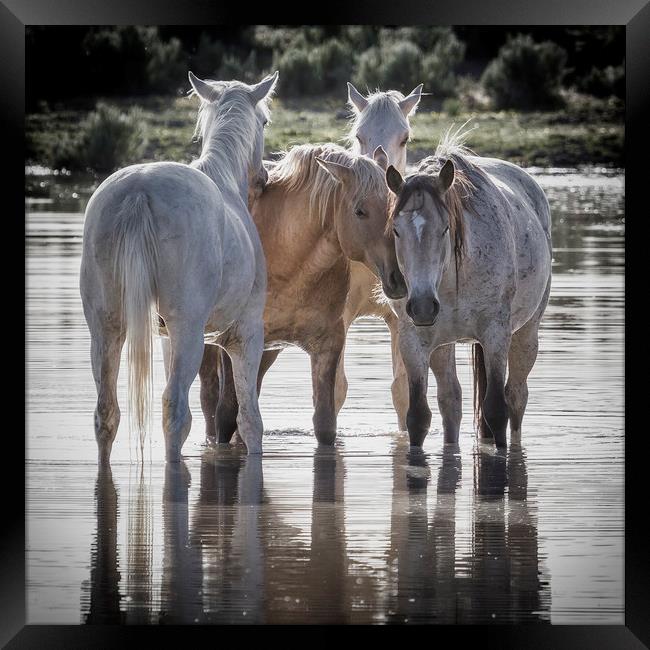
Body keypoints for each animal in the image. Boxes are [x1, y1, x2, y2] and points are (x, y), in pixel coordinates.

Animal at [79, 71, 278, 460]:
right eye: (264, 121)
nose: (263, 177)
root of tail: (139, 192)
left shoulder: (165, 337)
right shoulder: (246, 334)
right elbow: (250, 420)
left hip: (105, 328)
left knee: (106, 412)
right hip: (188, 331)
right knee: (175, 410)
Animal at [202, 144, 404, 442]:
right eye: (360, 211)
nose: (399, 278)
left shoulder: (328, 344)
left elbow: (325, 422)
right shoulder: (233, 341)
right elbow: (226, 416)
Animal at [382, 130, 548, 448]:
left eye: (445, 228)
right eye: (396, 230)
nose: (422, 306)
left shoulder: (495, 334)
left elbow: (495, 410)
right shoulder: (413, 341)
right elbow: (418, 416)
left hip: (525, 333)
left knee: (516, 397)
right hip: (442, 344)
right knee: (451, 401)